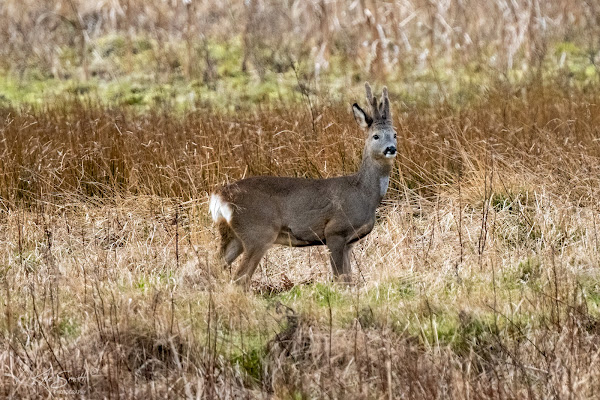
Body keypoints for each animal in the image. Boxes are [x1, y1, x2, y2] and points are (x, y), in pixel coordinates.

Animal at [209, 82, 396, 288]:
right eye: (376, 136)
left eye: (395, 134)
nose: (391, 148)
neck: (363, 192)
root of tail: (219, 195)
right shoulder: (335, 231)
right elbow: (340, 279)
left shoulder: (349, 242)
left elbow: (348, 278)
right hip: (257, 232)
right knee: (239, 278)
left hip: (233, 235)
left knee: (214, 267)